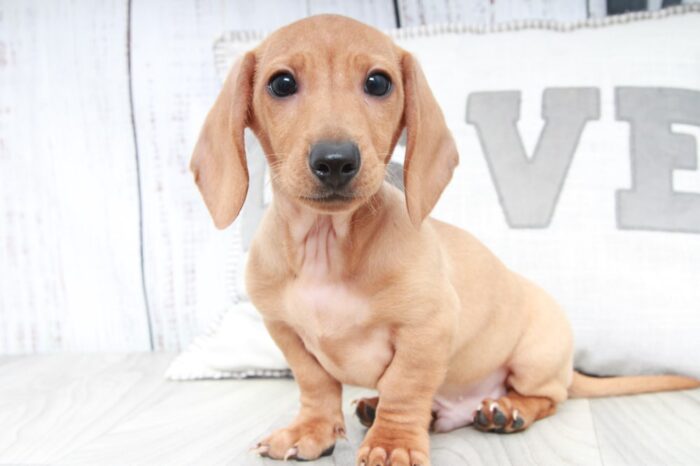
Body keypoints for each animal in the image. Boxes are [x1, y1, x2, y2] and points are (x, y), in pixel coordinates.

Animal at [189, 14, 696, 466]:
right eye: (281, 83)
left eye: (378, 83)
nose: (335, 161)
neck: (327, 247)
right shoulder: (285, 332)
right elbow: (315, 384)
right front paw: (312, 430)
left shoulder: (427, 329)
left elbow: (404, 386)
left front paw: (391, 442)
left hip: (535, 356)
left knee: (549, 396)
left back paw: (506, 409)